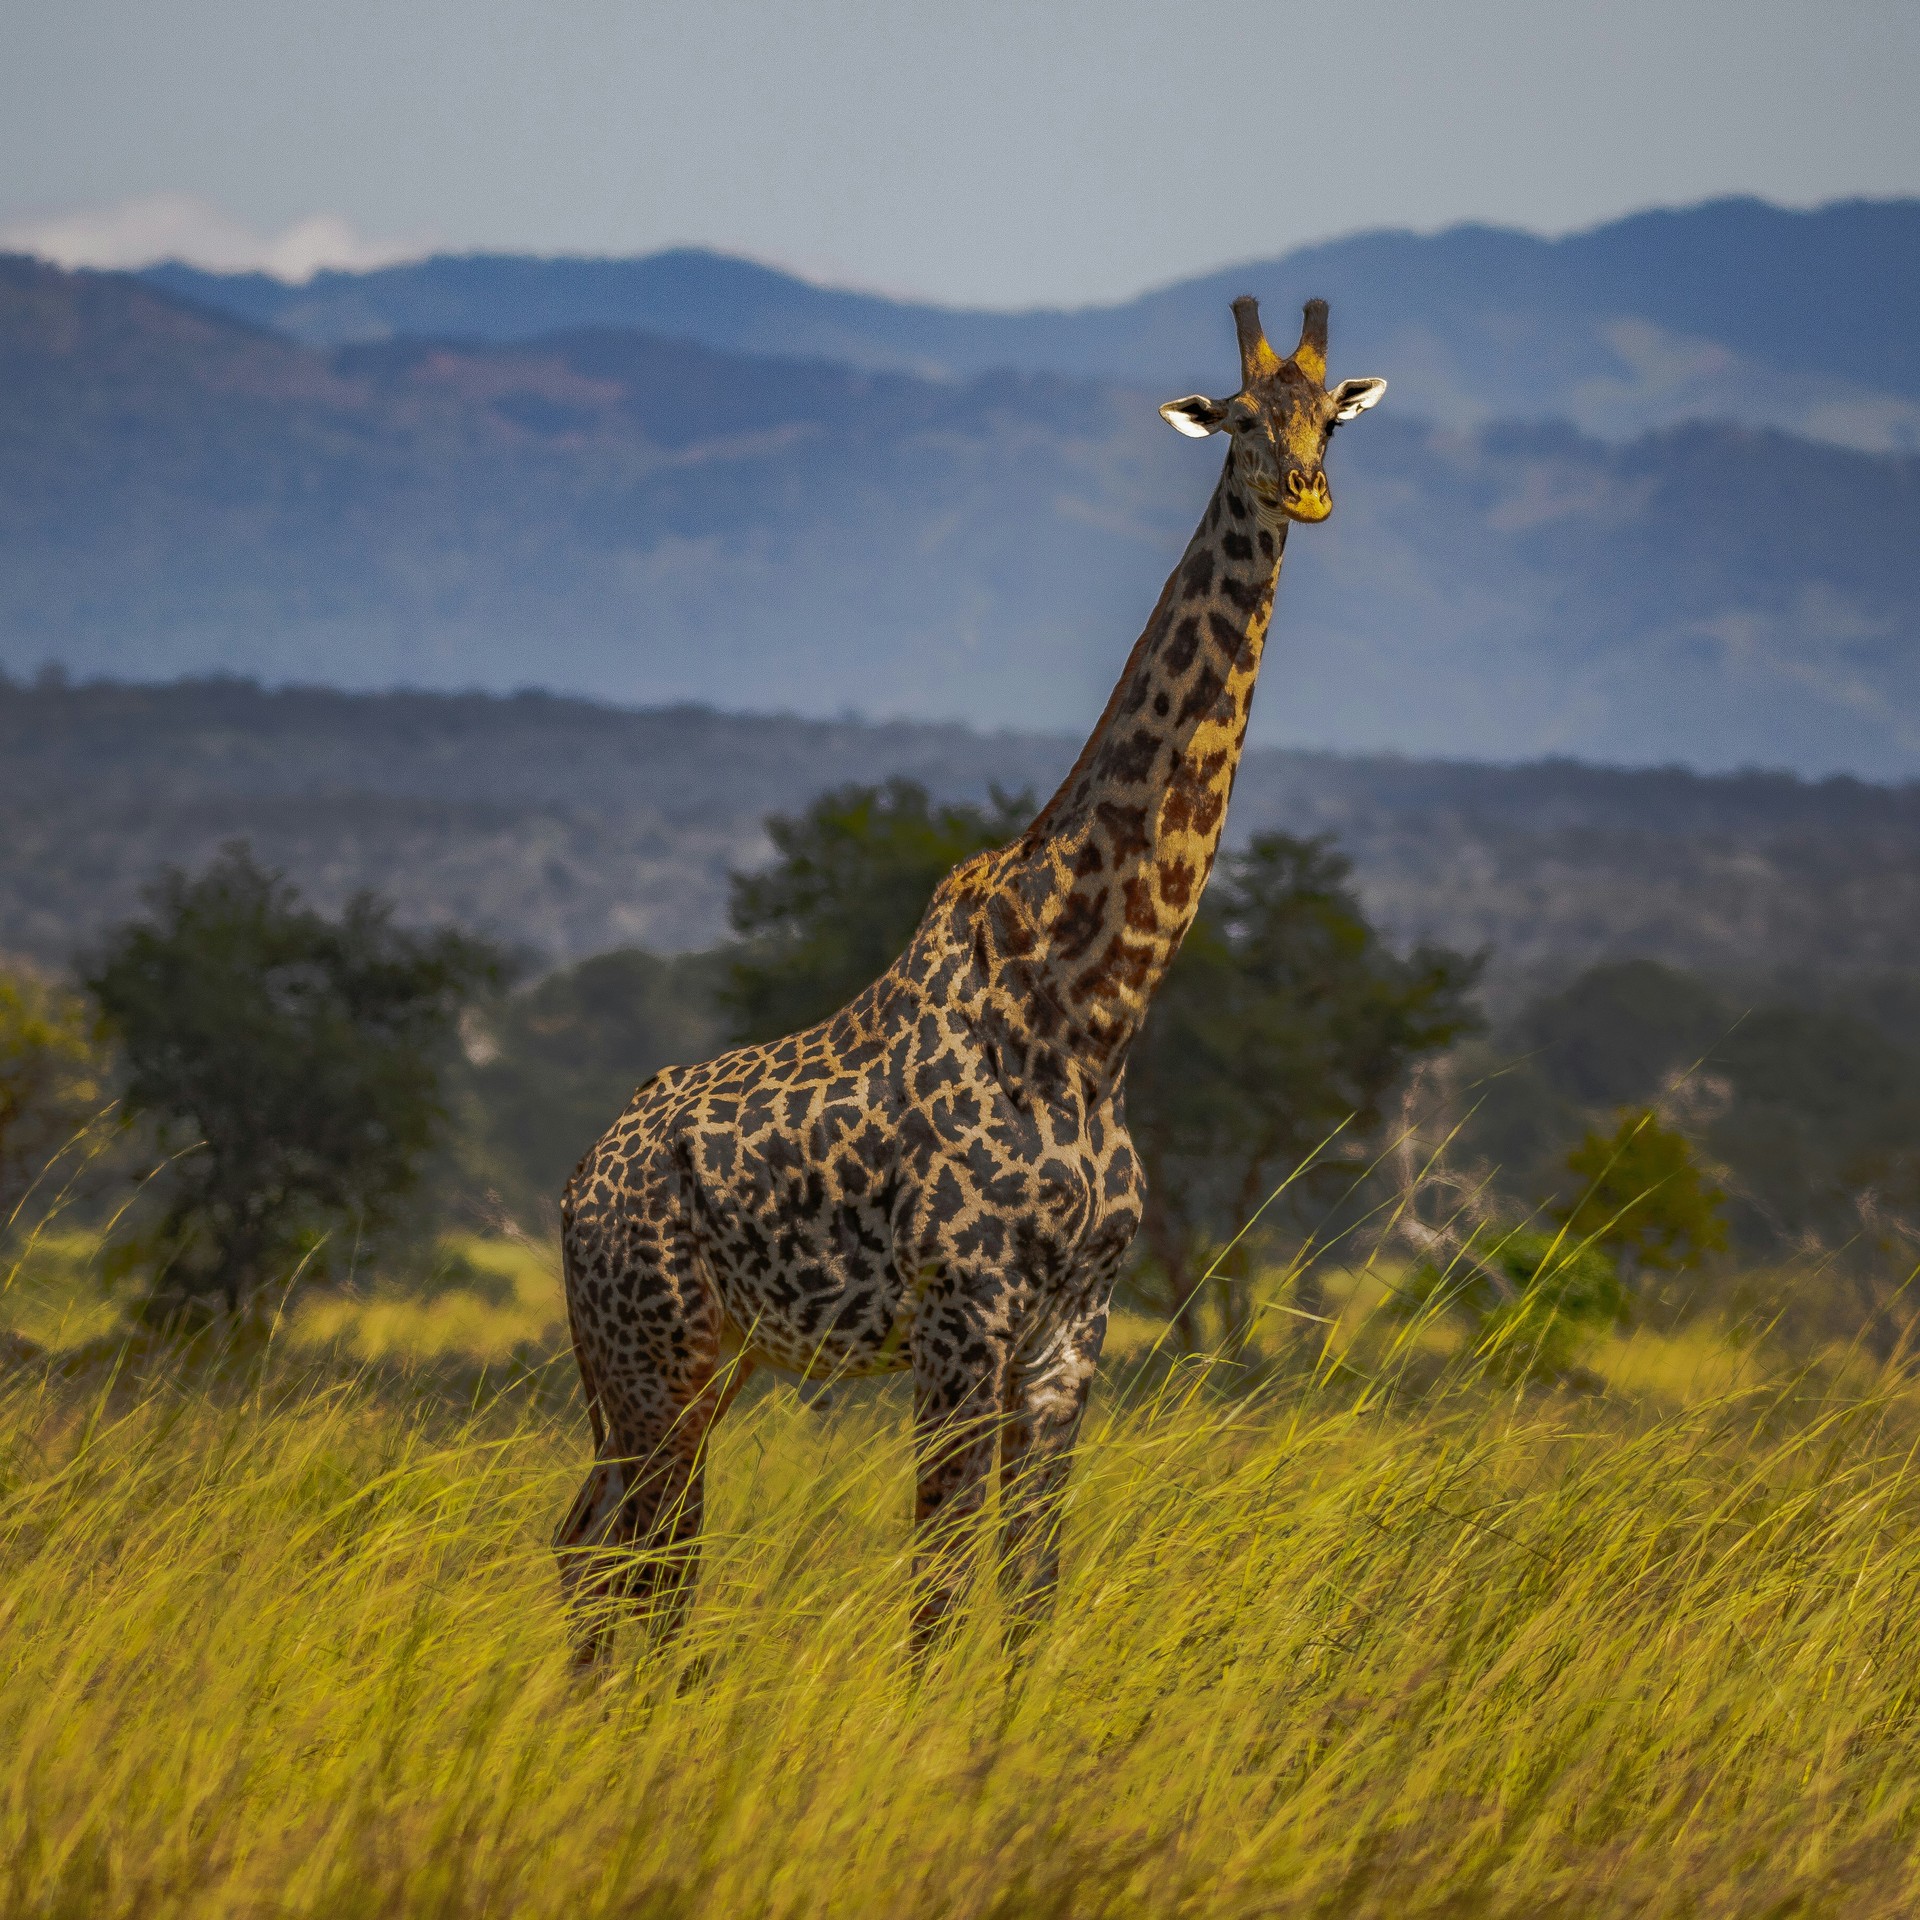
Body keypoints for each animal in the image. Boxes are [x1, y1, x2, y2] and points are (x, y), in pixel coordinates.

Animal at [556, 296, 1387, 1661]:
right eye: (1238, 421)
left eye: (1331, 418)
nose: (1307, 493)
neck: (1090, 1011)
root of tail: (577, 1187)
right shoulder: (961, 1312)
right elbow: (938, 1593)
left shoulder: (1069, 1330)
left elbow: (1028, 1586)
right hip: (652, 1357)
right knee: (640, 1563)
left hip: (689, 1363)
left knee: (598, 1549)